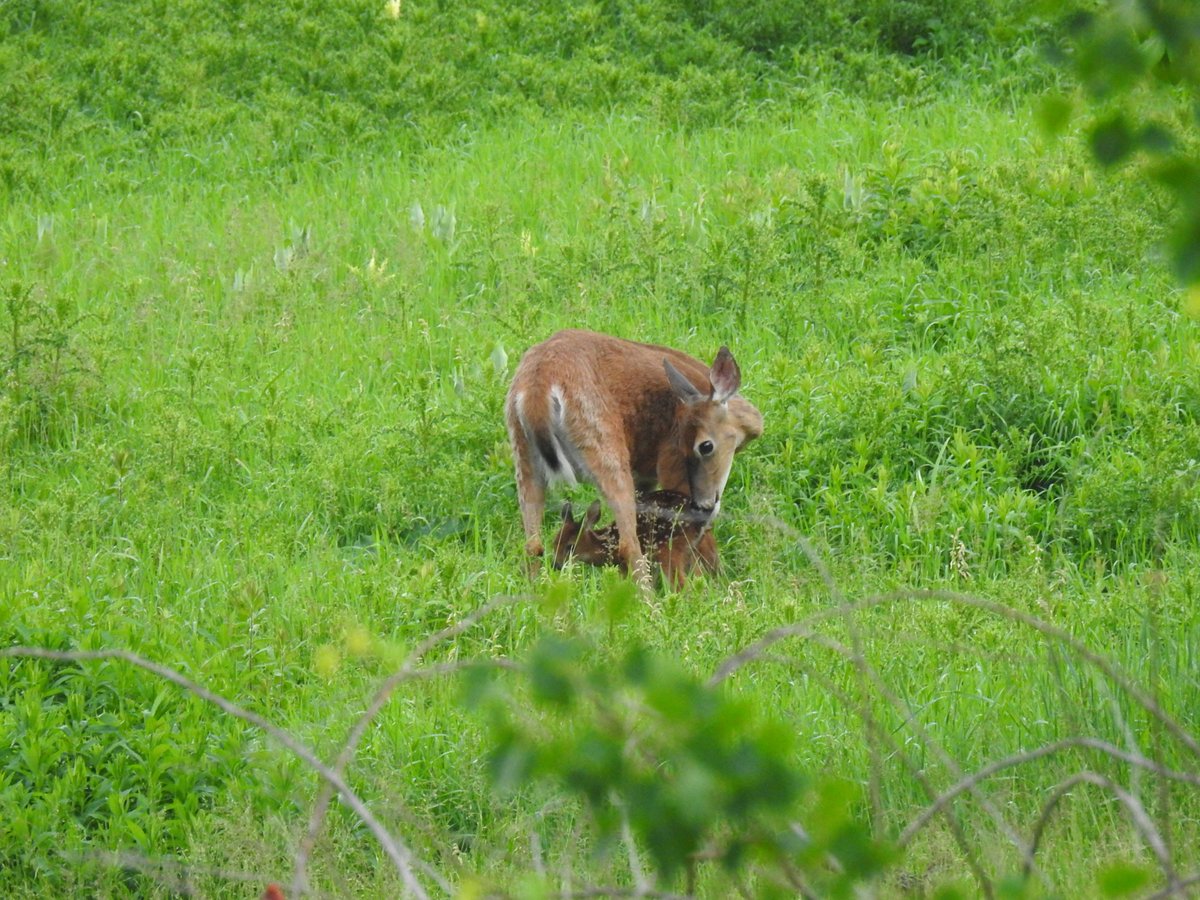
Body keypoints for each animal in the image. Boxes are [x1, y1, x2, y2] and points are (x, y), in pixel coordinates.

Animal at [552, 491, 720, 589]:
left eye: (570, 546)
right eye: (553, 544)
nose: (555, 565)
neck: (610, 544)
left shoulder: (627, 563)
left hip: (670, 549)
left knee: (683, 585)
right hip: (696, 550)